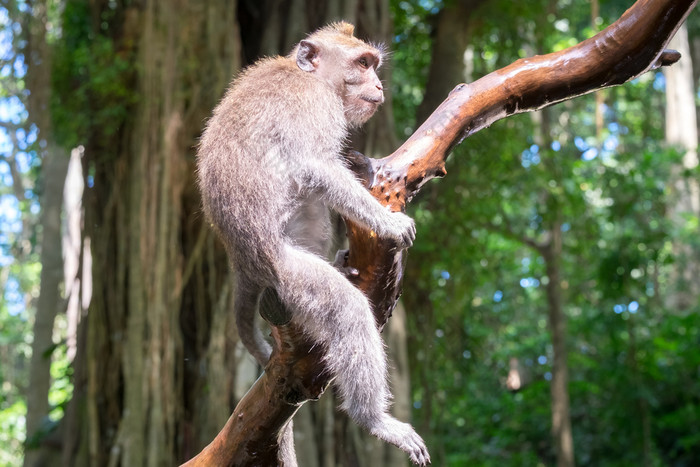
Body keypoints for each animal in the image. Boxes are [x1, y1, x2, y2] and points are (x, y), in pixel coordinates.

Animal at [194, 21, 430, 464]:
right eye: (362, 64)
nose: (379, 85)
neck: (310, 77)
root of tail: (242, 262)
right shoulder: (313, 105)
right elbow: (316, 166)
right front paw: (388, 223)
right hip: (289, 273)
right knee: (348, 312)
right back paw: (374, 420)